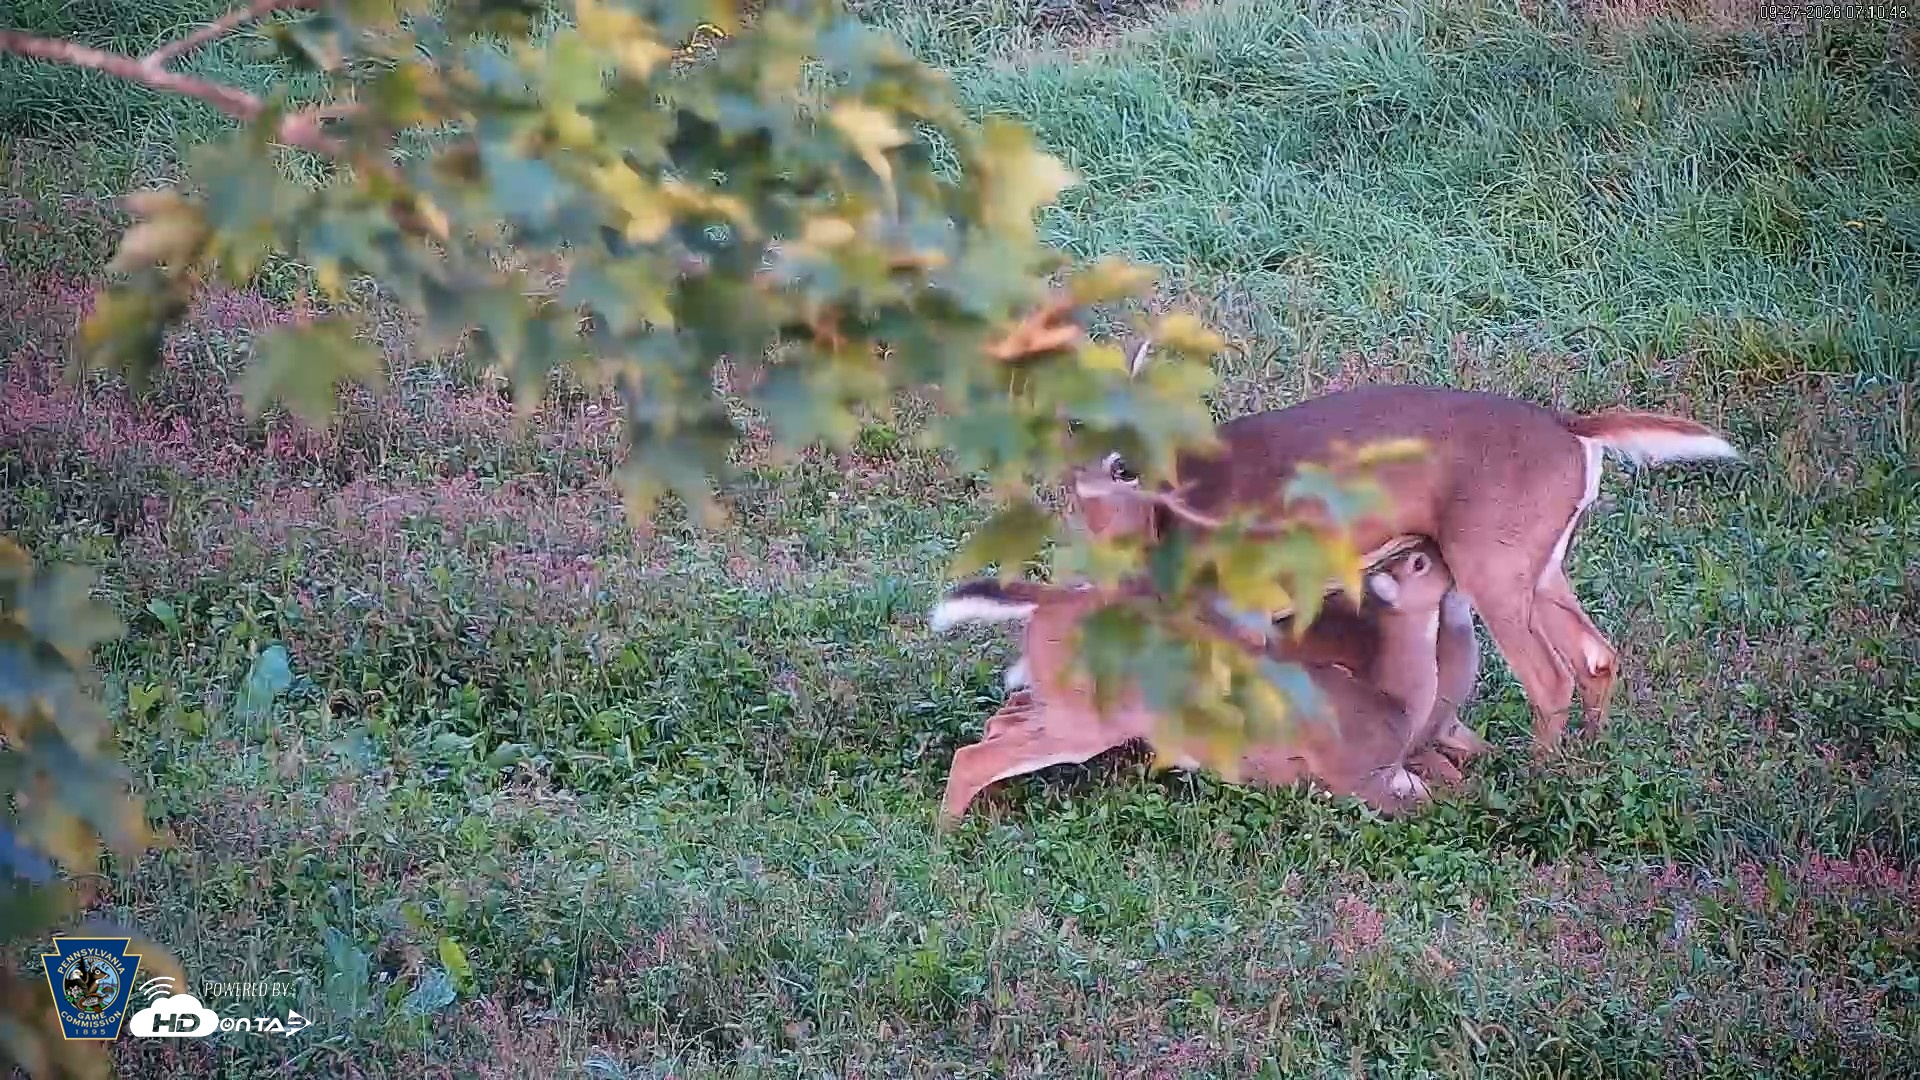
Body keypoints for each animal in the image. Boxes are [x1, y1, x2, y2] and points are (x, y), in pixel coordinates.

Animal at [930, 541, 1465, 822]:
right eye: (1420, 562)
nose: (1445, 552)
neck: (1393, 699)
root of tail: (1051, 600)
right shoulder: (1351, 777)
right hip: (1086, 718)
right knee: (975, 755)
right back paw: (948, 836)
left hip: (1061, 701)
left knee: (1000, 723)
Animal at [1069, 338, 1739, 759]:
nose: (1118, 470)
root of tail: (1573, 427)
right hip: (1540, 562)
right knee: (1596, 656)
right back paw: (1587, 761)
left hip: (1490, 560)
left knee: (1551, 678)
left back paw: (1537, 778)